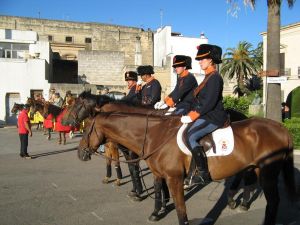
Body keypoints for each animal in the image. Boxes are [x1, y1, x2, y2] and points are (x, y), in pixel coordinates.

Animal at [77, 107, 296, 225]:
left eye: (86, 129)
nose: (80, 153)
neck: (157, 134)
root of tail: (281, 128)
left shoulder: (174, 178)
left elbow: (181, 208)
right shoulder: (158, 174)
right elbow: (158, 193)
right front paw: (156, 213)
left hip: (268, 173)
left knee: (273, 201)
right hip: (253, 167)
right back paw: (238, 202)